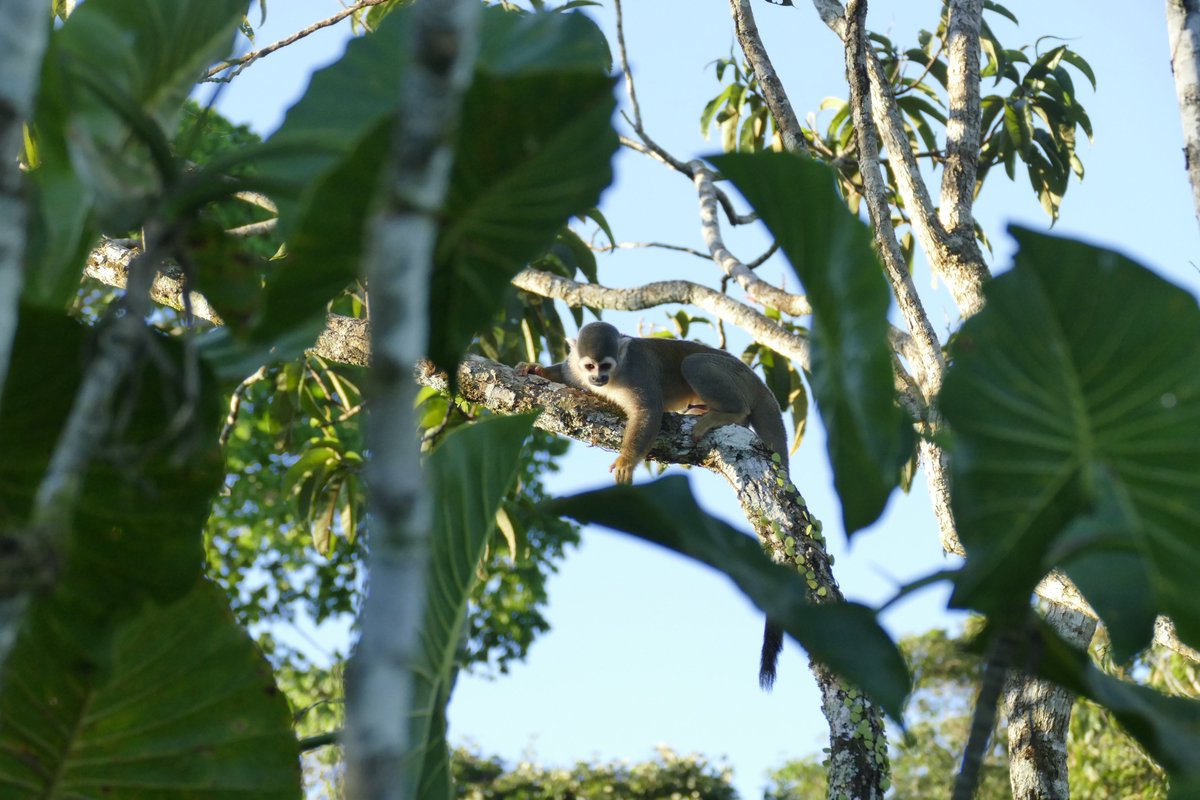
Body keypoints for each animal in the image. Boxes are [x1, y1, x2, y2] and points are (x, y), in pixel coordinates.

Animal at [516, 321, 789, 688]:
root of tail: (759, 383)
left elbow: (649, 413)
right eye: (590, 366)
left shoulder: (637, 373)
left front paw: (626, 462)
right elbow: (565, 373)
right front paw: (538, 369)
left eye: (607, 365)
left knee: (695, 365)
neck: (616, 375)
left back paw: (729, 412)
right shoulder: (577, 370)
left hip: (737, 380)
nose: (598, 379)